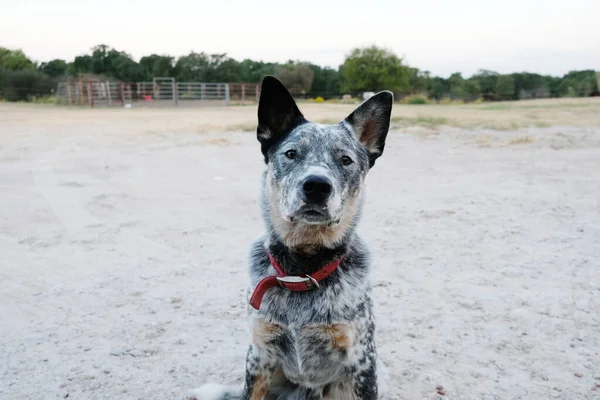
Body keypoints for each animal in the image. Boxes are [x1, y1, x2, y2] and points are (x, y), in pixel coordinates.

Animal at [190, 76, 392, 400]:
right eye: (291, 153)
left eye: (345, 159)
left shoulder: (361, 361)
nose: (317, 186)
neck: (302, 270)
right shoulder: (259, 355)